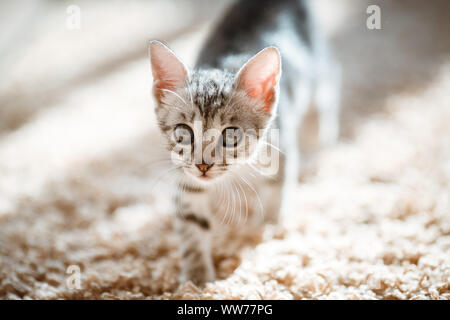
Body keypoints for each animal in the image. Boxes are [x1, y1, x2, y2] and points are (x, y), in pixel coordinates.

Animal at [149, 0, 340, 284]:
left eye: (230, 136)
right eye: (184, 133)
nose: (203, 166)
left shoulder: (279, 144)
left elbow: (276, 190)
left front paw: (268, 227)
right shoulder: (185, 172)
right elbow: (192, 223)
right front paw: (196, 278)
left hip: (318, 74)